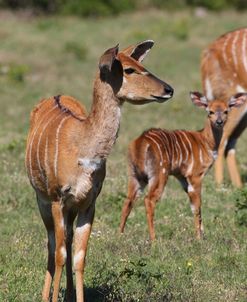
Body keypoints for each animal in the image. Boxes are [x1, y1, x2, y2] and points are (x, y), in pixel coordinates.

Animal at [24, 40, 172, 302]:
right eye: (129, 69)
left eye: (141, 65)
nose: (168, 89)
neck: (83, 149)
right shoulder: (57, 199)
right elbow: (60, 254)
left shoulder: (87, 202)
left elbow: (80, 257)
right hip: (42, 200)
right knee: (52, 245)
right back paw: (45, 296)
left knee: (68, 240)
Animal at [119, 92, 245, 241]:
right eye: (210, 111)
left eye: (226, 111)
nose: (219, 122)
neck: (206, 142)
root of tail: (141, 143)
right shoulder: (195, 175)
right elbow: (197, 206)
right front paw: (199, 237)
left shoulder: (182, 177)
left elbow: (193, 205)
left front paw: (202, 234)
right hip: (159, 174)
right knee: (149, 200)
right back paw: (154, 239)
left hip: (136, 176)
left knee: (128, 200)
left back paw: (119, 234)